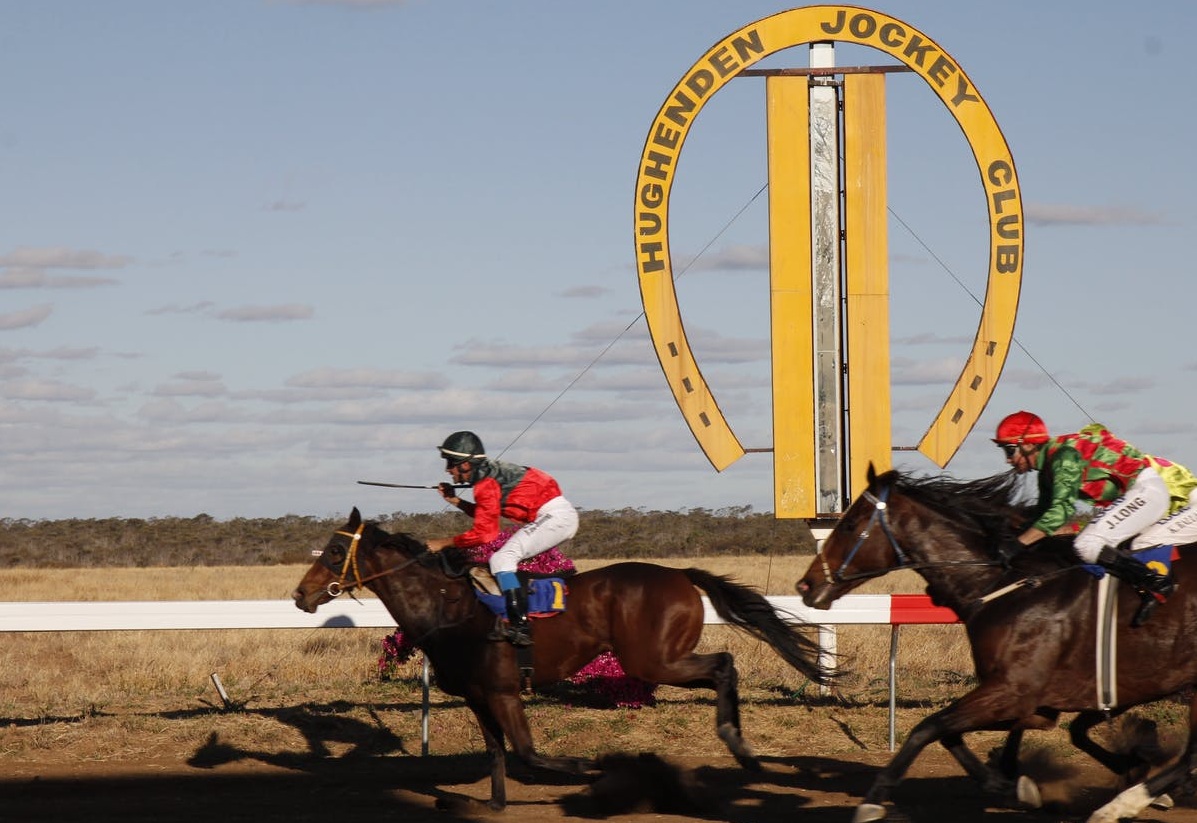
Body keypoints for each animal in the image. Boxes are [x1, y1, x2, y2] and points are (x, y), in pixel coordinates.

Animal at [293, 507, 833, 808]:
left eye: (336, 550)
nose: (300, 595)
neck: (451, 610)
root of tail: (679, 573)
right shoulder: (478, 695)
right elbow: (498, 752)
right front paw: (494, 804)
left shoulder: (505, 691)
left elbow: (528, 752)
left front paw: (592, 768)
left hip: (651, 660)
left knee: (723, 663)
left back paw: (739, 746)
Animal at [794, 466, 1197, 822]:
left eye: (850, 524)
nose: (805, 585)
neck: (1001, 586)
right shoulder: (1039, 702)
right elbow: (952, 733)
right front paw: (1014, 786)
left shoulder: (1012, 690)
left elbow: (927, 727)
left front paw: (872, 801)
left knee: (1190, 757)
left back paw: (1119, 806)